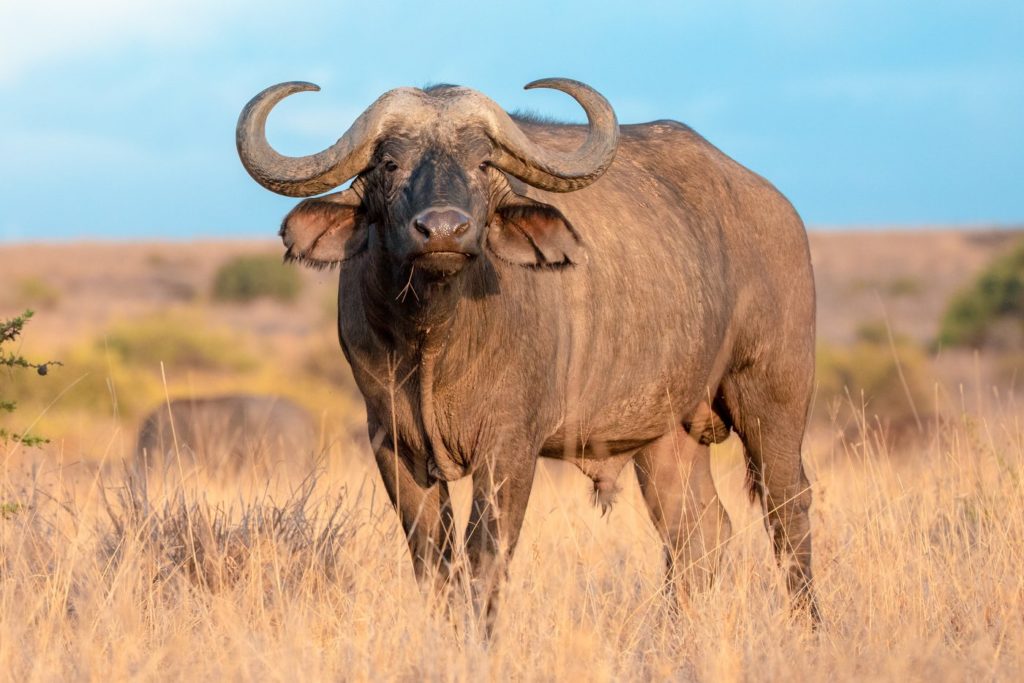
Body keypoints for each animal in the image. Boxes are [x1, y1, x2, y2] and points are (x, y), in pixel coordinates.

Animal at [235, 78, 819, 626]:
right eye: (391, 162)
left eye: (482, 162)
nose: (443, 230)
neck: (434, 340)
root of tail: (780, 210)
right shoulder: (392, 443)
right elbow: (434, 564)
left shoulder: (509, 448)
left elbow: (484, 558)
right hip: (666, 433)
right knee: (697, 530)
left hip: (772, 401)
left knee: (787, 508)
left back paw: (807, 626)